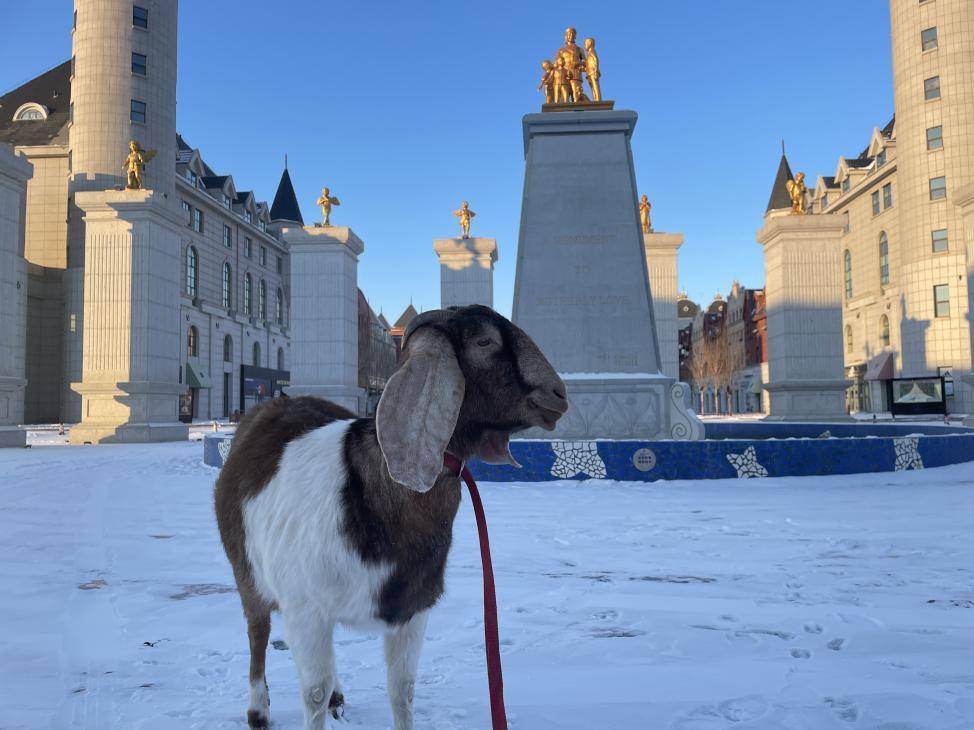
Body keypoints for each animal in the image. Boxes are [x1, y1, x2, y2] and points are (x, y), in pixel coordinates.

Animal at [214, 306, 564, 728]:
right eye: (484, 341)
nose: (559, 395)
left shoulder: (412, 610)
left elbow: (403, 691)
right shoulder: (305, 609)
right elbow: (312, 694)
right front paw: (306, 703)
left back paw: (338, 696)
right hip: (247, 572)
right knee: (257, 632)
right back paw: (258, 711)